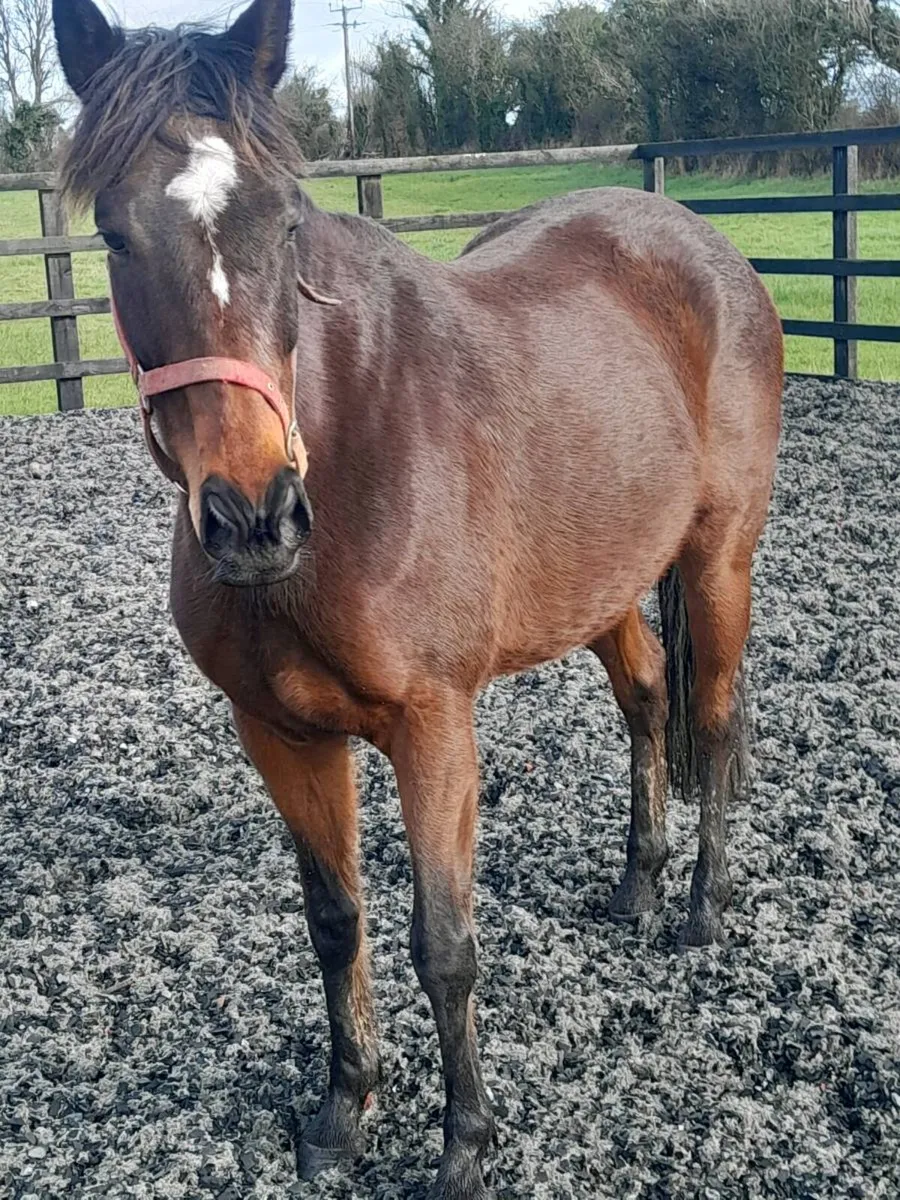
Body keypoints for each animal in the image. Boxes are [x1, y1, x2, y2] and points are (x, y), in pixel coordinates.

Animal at [52, 0, 783, 1193]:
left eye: (286, 224)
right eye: (114, 236)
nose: (254, 516)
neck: (352, 455)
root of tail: (702, 244)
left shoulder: (434, 729)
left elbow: (443, 944)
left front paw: (465, 1143)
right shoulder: (281, 733)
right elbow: (334, 922)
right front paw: (344, 1111)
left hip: (718, 559)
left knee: (711, 721)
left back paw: (703, 910)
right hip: (602, 582)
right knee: (643, 700)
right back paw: (637, 883)